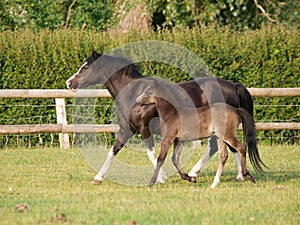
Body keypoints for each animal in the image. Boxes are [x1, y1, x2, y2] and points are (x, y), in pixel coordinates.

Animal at [136, 80, 264, 187]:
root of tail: (236, 110)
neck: (172, 114)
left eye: (147, 92)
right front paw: (190, 178)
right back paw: (214, 183)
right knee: (223, 155)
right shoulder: (179, 140)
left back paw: (246, 175)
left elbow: (160, 159)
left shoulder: (168, 138)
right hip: (220, 137)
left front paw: (151, 182)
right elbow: (175, 159)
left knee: (241, 147)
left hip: (227, 135)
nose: (137, 100)